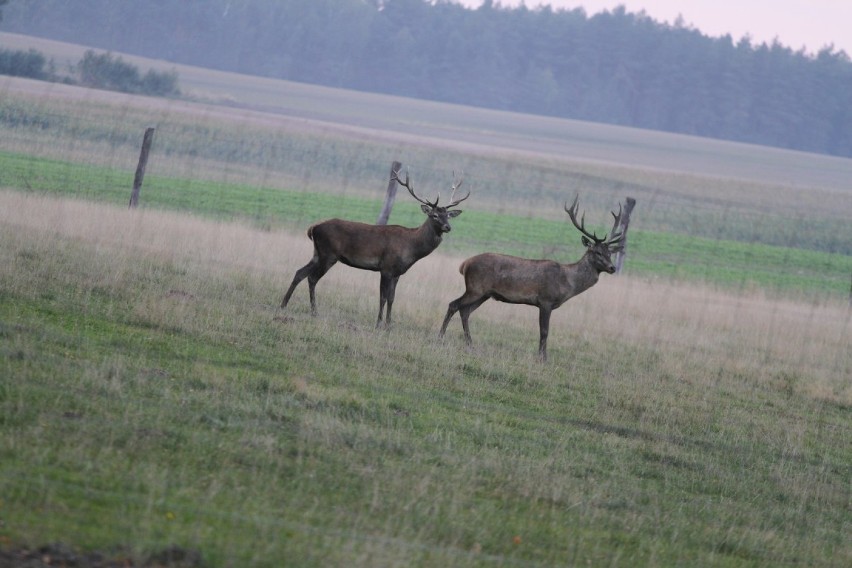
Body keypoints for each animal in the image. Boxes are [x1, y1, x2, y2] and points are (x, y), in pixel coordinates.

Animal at [282, 169, 470, 328]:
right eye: (435, 215)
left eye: (448, 216)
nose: (447, 227)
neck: (411, 248)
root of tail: (313, 228)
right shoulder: (386, 268)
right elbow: (383, 297)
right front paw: (379, 324)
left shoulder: (397, 273)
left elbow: (392, 298)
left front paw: (389, 324)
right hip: (329, 254)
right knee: (312, 278)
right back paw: (314, 311)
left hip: (317, 253)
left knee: (300, 272)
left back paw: (284, 304)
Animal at [440, 195, 620, 362]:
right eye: (597, 252)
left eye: (609, 253)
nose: (613, 268)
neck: (567, 283)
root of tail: (465, 264)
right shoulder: (546, 300)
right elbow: (544, 331)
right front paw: (543, 358)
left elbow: (544, 331)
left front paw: (542, 357)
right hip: (475, 288)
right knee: (453, 304)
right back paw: (440, 336)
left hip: (484, 294)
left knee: (465, 311)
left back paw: (470, 344)